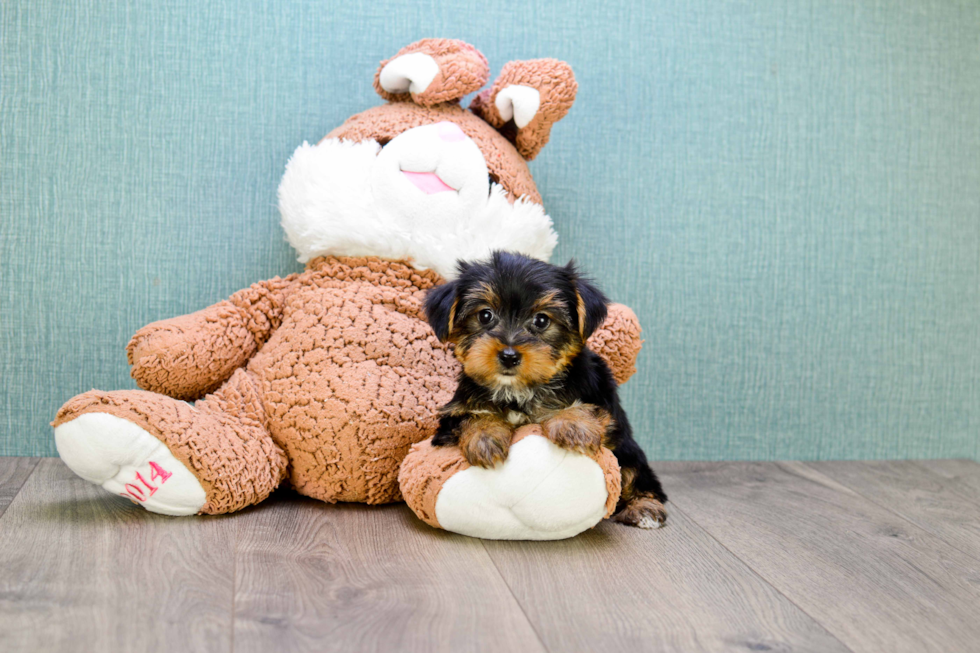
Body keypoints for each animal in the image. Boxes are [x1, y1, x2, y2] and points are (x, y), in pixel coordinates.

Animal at [424, 247, 668, 528]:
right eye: (485, 315)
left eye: (541, 320)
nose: (509, 355)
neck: (518, 389)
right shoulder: (453, 413)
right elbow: (468, 417)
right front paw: (484, 436)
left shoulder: (603, 402)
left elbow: (590, 411)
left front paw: (572, 424)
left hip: (628, 451)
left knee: (638, 476)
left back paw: (644, 508)